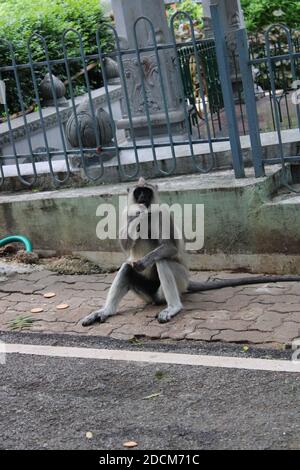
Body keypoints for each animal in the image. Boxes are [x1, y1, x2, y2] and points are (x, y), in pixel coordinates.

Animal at [82, 177, 300, 326]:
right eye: (138, 192)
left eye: (146, 192)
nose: (143, 198)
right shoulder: (128, 212)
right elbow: (126, 245)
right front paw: (139, 213)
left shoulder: (162, 214)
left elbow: (169, 247)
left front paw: (144, 260)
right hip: (148, 294)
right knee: (127, 267)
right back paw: (105, 311)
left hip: (178, 281)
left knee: (161, 261)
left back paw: (173, 307)